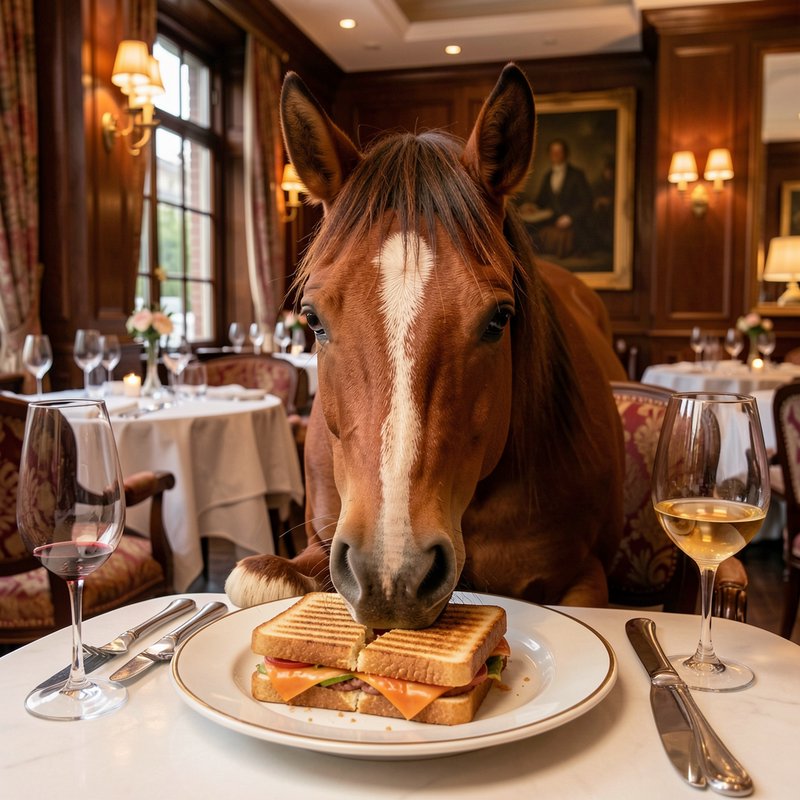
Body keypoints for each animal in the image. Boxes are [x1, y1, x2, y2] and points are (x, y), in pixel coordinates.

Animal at [225, 63, 626, 629]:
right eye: (313, 319)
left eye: (499, 319)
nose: (391, 572)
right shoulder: (321, 543)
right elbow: (263, 579)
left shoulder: (586, 580)